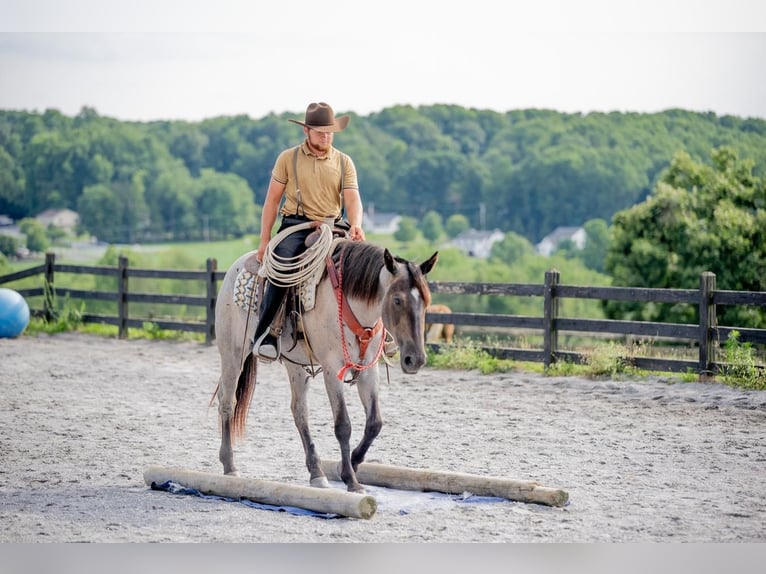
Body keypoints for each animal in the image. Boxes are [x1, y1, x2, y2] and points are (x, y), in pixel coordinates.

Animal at [212, 234, 438, 496]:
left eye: (427, 301)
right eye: (397, 300)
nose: (416, 359)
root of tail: (235, 267)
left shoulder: (369, 369)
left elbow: (374, 423)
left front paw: (351, 462)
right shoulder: (332, 368)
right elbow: (343, 425)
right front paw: (351, 479)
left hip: (296, 366)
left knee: (299, 411)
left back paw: (317, 473)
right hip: (233, 354)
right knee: (227, 402)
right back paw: (230, 466)